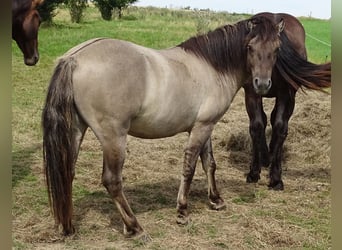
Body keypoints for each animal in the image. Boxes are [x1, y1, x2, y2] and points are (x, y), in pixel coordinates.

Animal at [42, 16, 284, 237]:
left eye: (276, 48)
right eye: (250, 47)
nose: (262, 84)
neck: (212, 67)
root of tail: (74, 58)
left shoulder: (205, 127)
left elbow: (209, 164)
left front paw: (216, 200)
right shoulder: (202, 128)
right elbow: (190, 168)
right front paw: (182, 212)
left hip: (76, 131)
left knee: (66, 172)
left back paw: (67, 227)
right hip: (113, 137)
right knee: (112, 181)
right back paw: (134, 227)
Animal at [243, 12, 332, 189]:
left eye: (277, 48)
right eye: (250, 47)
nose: (262, 83)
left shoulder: (287, 95)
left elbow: (279, 127)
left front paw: (276, 177)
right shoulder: (251, 93)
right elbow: (257, 125)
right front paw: (254, 172)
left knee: (274, 120)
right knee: (264, 120)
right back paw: (266, 156)